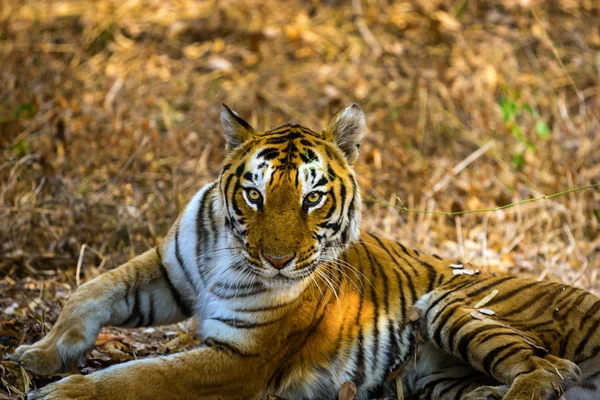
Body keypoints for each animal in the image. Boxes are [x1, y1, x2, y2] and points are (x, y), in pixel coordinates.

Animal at [10, 104, 600, 398]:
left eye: (313, 198)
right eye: (254, 194)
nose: (277, 261)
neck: (226, 252)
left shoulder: (242, 357)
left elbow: (140, 377)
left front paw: (63, 394)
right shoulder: (168, 270)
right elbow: (91, 290)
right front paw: (38, 354)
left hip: (452, 306)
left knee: (553, 370)